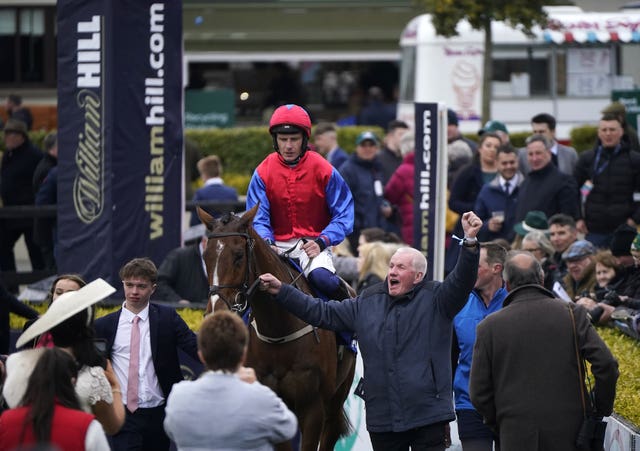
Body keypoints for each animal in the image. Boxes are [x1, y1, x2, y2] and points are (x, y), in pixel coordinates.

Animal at [198, 206, 358, 451]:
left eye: (238, 255)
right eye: (206, 257)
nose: (216, 311)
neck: (279, 331)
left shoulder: (314, 408)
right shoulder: (273, 403)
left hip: (337, 397)